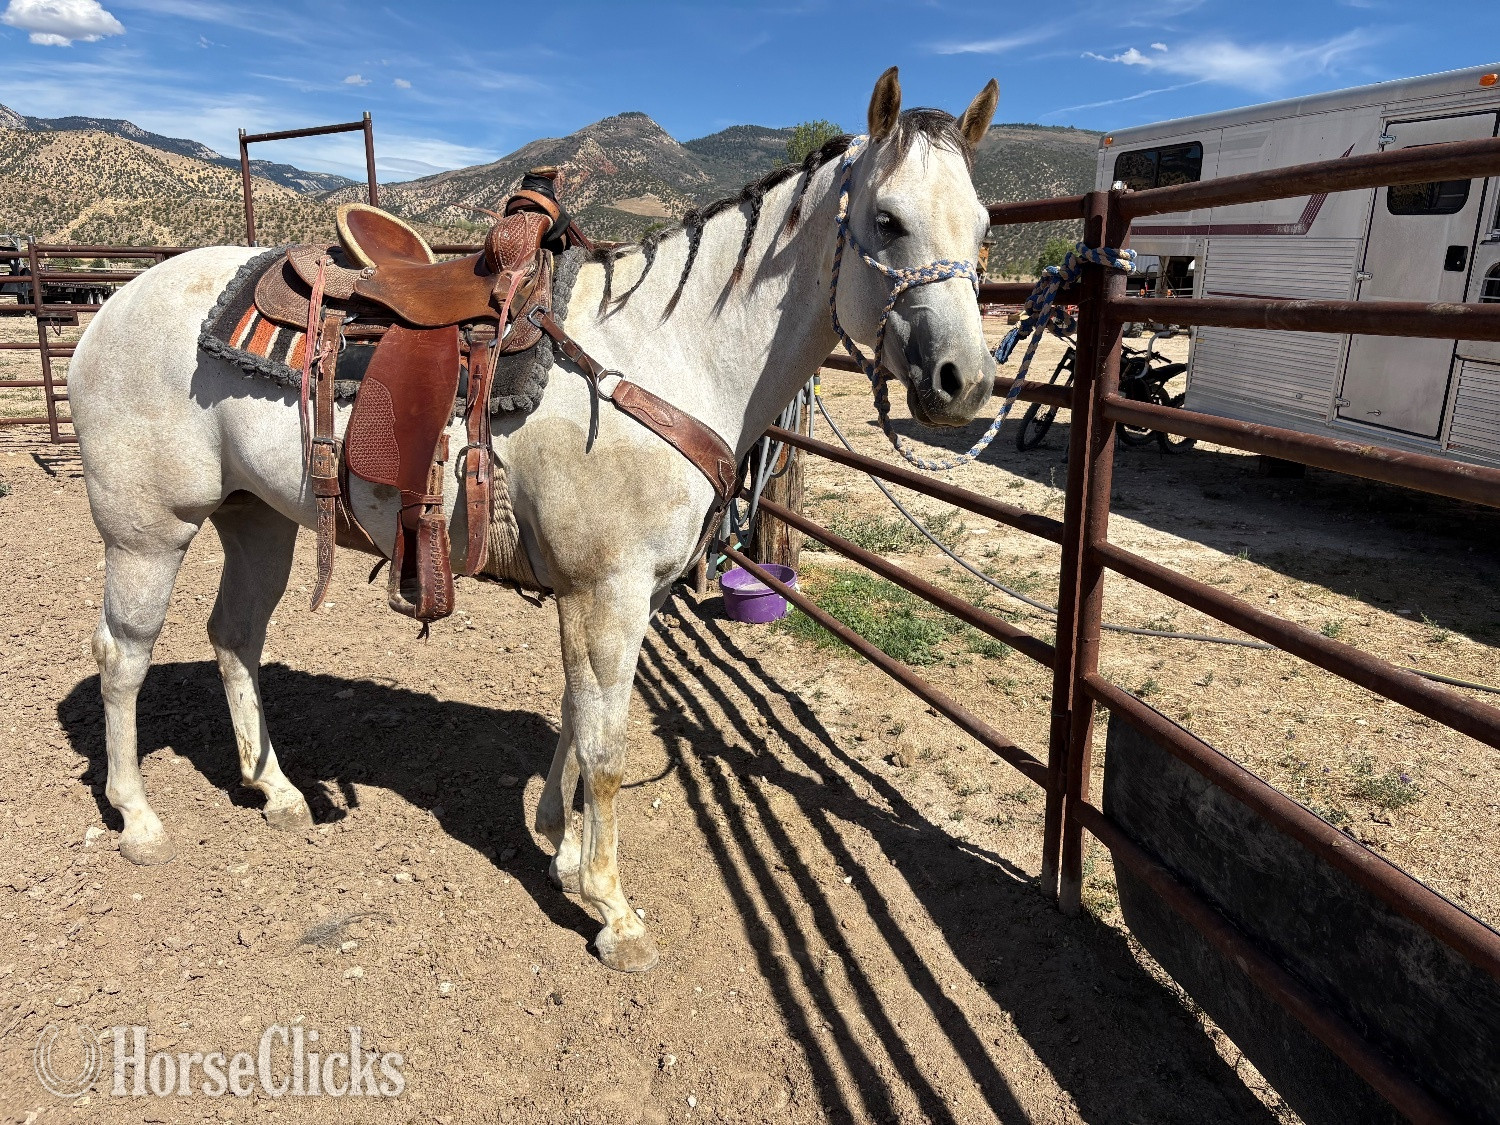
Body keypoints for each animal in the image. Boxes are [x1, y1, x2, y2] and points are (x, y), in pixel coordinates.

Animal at [69, 68, 1000, 972]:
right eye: (888, 220)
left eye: (986, 226)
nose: (964, 381)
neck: (659, 359)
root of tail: (111, 306)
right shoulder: (606, 591)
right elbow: (607, 748)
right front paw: (614, 912)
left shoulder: (613, 595)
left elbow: (576, 719)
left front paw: (561, 850)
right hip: (149, 533)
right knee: (122, 656)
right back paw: (139, 818)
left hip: (256, 521)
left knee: (234, 637)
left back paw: (278, 791)